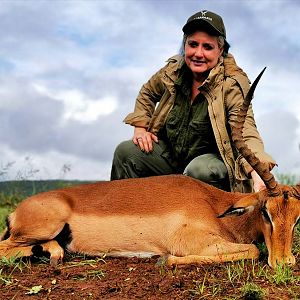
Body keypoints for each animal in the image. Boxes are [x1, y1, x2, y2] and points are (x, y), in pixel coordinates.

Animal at [0, 69, 298, 268]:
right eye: (266, 213)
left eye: (297, 218)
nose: (285, 262)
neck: (216, 207)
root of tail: (17, 210)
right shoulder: (191, 240)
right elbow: (252, 250)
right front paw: (165, 259)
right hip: (42, 227)